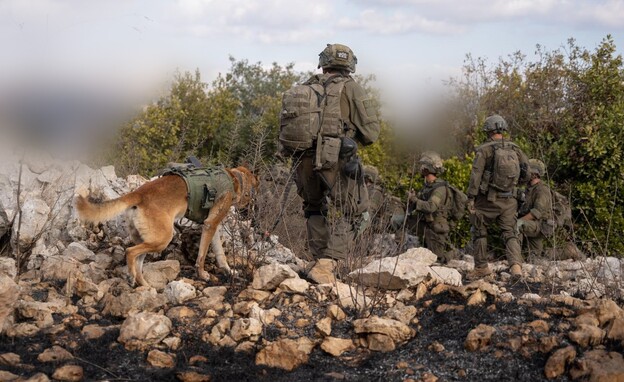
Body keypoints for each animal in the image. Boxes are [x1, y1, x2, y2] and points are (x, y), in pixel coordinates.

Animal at [74, 166, 258, 286]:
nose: (250, 209)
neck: (234, 179)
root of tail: (139, 193)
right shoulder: (210, 225)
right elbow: (201, 256)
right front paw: (203, 274)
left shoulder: (214, 228)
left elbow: (220, 254)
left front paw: (229, 271)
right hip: (163, 239)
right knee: (130, 252)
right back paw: (132, 277)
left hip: (148, 240)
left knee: (138, 261)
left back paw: (145, 286)